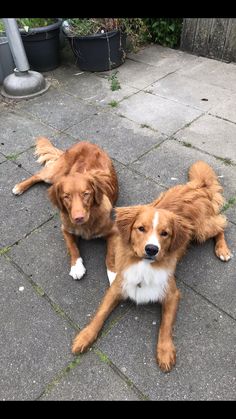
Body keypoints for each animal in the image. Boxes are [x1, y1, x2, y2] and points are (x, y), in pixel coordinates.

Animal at [12, 138, 118, 280]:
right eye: (66, 196)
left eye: (86, 194)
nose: (78, 218)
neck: (88, 221)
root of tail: (85, 142)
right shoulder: (66, 229)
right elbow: (72, 247)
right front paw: (76, 267)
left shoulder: (114, 231)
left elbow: (110, 256)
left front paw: (113, 276)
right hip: (54, 175)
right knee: (38, 175)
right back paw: (19, 187)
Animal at [71, 160, 230, 370]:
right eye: (141, 229)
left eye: (165, 233)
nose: (152, 249)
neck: (144, 265)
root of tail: (197, 187)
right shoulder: (117, 287)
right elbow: (100, 314)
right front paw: (85, 336)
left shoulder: (172, 294)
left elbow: (165, 326)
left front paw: (165, 351)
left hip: (202, 229)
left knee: (221, 226)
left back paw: (223, 250)